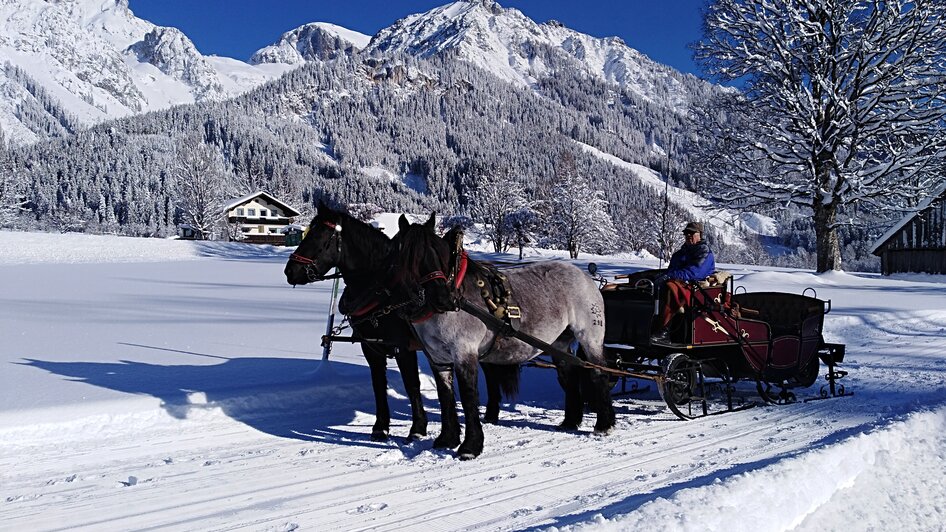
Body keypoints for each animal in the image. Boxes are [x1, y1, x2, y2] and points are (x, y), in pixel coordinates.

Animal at [390, 214, 612, 460]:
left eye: (439, 254)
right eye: (411, 258)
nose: (444, 300)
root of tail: (586, 277)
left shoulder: (464, 352)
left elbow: (468, 396)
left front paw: (470, 446)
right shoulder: (437, 358)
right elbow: (445, 395)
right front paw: (447, 439)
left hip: (590, 336)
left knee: (598, 372)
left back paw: (604, 425)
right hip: (559, 343)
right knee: (568, 376)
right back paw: (570, 422)